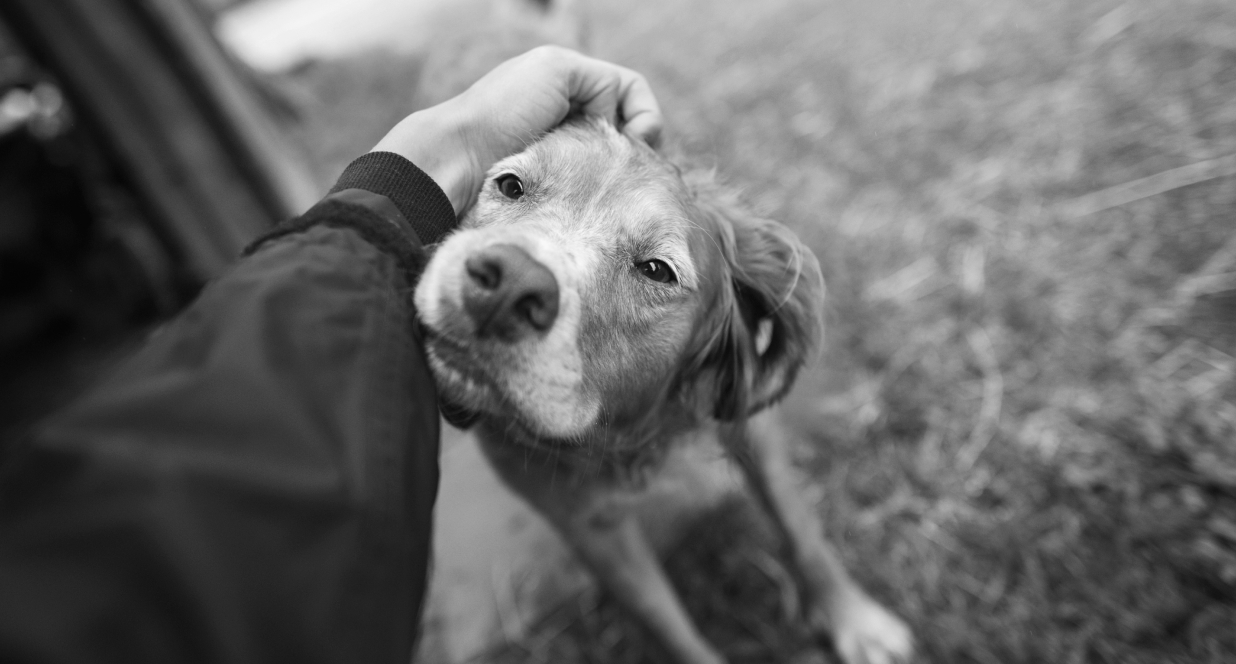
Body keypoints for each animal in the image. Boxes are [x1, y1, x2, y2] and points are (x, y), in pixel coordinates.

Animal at [410, 111, 914, 657]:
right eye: (510, 186)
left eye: (656, 270)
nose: (508, 284)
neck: (632, 432)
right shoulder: (586, 524)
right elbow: (666, 622)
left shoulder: (749, 425)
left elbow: (798, 525)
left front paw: (855, 620)